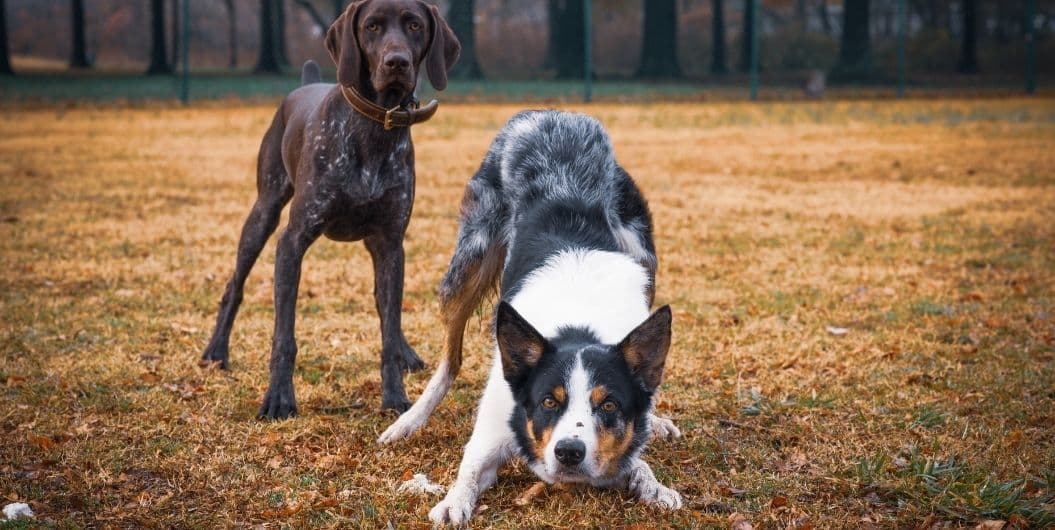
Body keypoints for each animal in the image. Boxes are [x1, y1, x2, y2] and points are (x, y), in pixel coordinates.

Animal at [379, 109, 683, 523]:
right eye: (548, 402)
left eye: (607, 405)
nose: (569, 452)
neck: (577, 321)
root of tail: (553, 115)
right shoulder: (491, 432)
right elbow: (469, 470)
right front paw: (452, 503)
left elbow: (634, 458)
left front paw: (653, 483)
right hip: (469, 260)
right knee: (450, 358)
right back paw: (409, 420)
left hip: (642, 252)